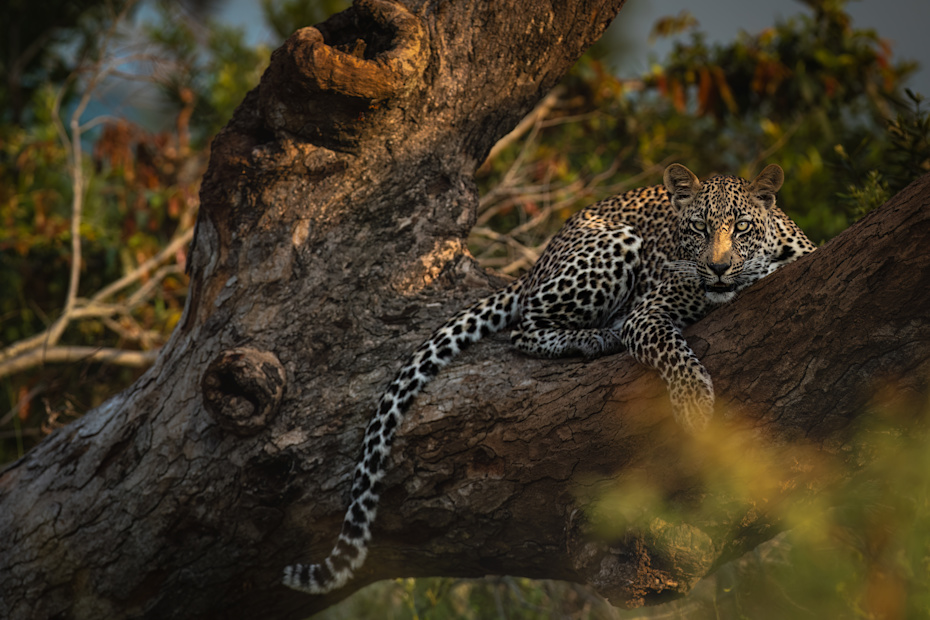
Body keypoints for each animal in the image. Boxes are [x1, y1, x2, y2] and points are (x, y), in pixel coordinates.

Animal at [283, 162, 816, 594]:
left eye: (741, 227)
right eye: (698, 228)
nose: (719, 267)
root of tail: (542, 256)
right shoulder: (649, 313)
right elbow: (674, 352)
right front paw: (694, 407)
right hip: (614, 246)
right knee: (524, 326)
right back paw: (595, 337)